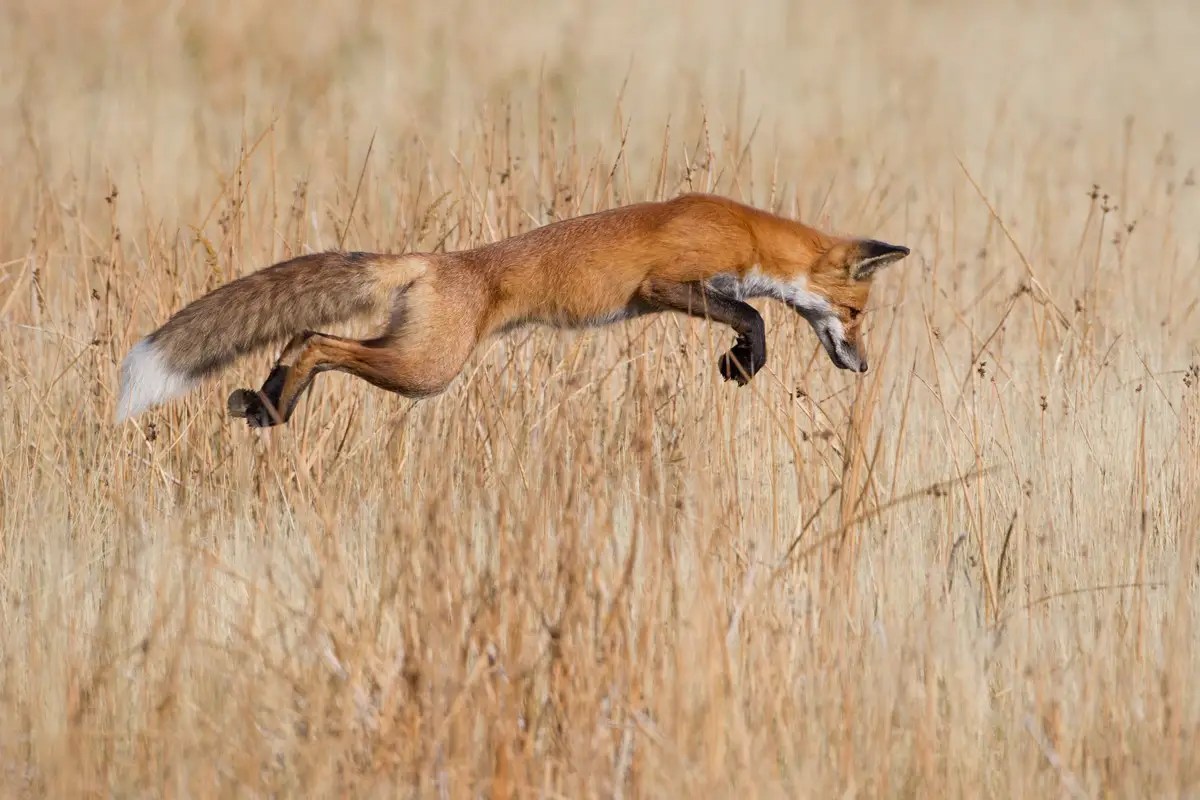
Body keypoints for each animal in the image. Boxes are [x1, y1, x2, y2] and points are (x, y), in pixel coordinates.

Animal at [119, 191, 907, 429]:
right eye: (856, 314)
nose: (865, 366)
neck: (745, 230)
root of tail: (435, 260)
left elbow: (751, 316)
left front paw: (741, 365)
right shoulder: (662, 286)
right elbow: (755, 318)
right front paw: (743, 364)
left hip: (409, 354)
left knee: (303, 338)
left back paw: (268, 406)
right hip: (426, 369)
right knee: (314, 339)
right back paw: (274, 406)